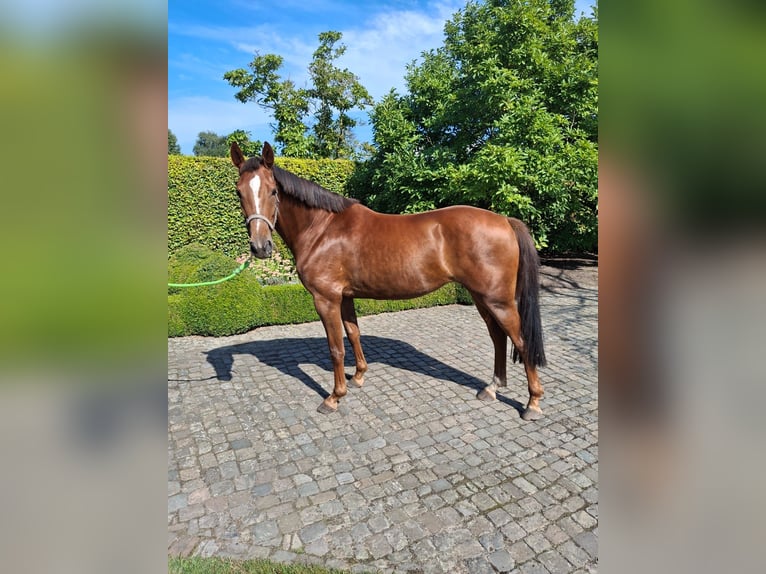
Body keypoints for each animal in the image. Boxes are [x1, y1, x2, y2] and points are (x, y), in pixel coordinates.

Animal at [231, 143, 548, 424]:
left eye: (273, 191)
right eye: (239, 192)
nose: (260, 247)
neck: (322, 229)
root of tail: (505, 220)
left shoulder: (326, 299)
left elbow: (336, 348)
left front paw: (334, 397)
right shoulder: (345, 297)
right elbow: (353, 334)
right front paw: (359, 376)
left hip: (498, 300)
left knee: (521, 341)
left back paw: (532, 403)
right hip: (481, 297)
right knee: (498, 337)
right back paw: (492, 388)